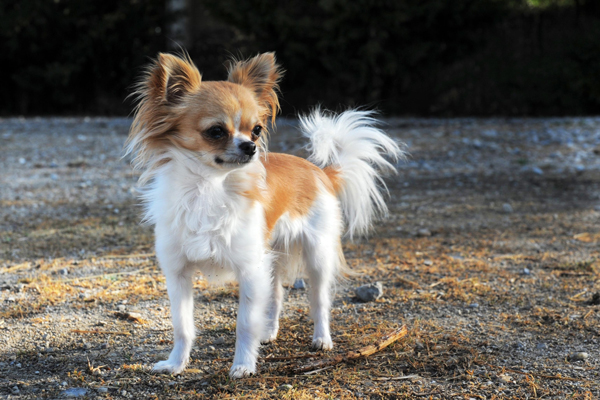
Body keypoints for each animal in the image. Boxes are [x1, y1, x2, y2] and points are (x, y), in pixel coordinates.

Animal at [125, 52, 404, 378]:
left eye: (256, 129)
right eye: (215, 131)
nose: (251, 147)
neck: (209, 188)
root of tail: (320, 171)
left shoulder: (249, 270)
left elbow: (245, 323)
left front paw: (244, 365)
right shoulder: (178, 272)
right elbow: (182, 326)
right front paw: (175, 364)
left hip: (317, 256)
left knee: (319, 301)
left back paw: (322, 339)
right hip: (271, 258)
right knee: (276, 297)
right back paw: (268, 332)